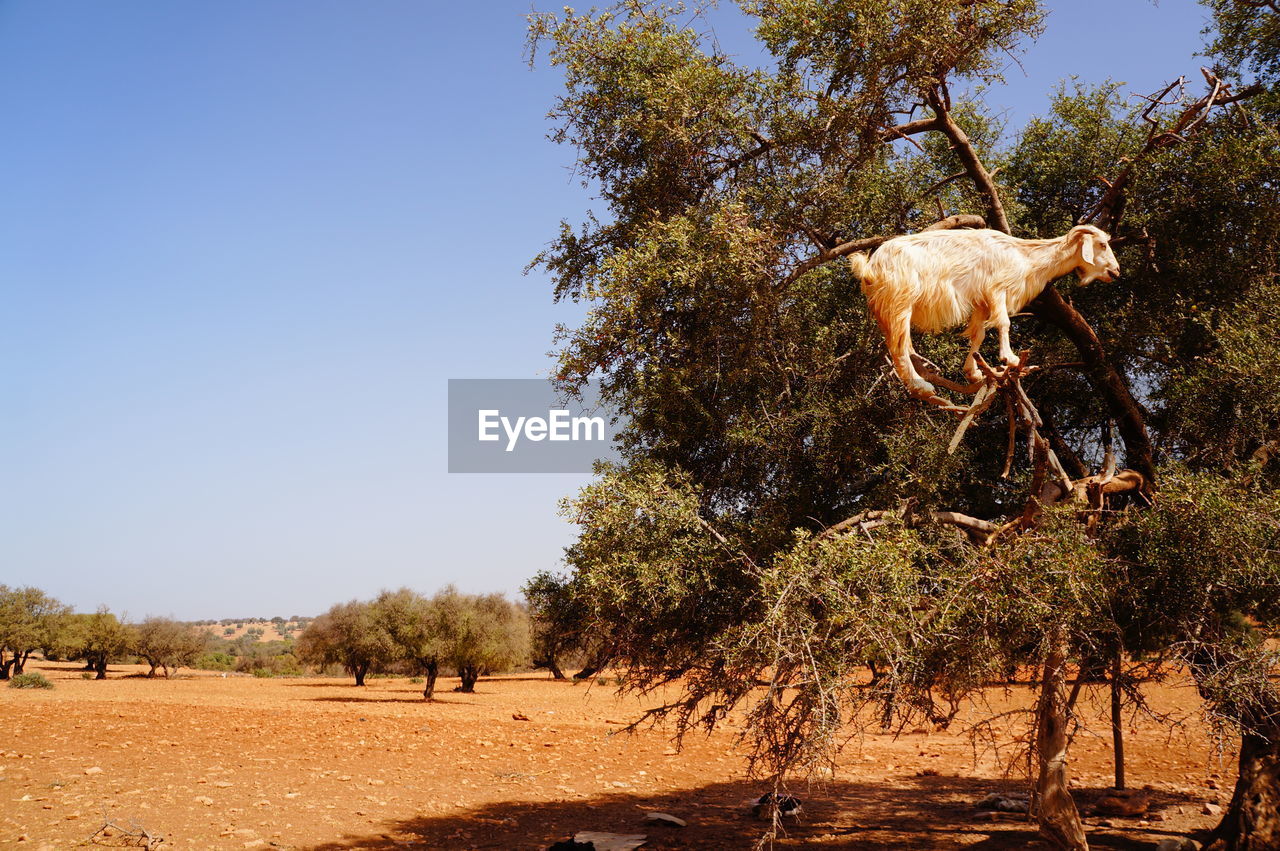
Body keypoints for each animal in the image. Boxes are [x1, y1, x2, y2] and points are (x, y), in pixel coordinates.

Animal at [849, 223, 1121, 406]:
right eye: (1102, 244)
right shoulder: (997, 289)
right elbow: (1003, 323)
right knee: (899, 347)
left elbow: (978, 334)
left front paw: (974, 371)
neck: (1024, 255)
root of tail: (870, 267)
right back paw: (921, 386)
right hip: (900, 302)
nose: (1116, 272)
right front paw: (1010, 359)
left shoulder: (980, 300)